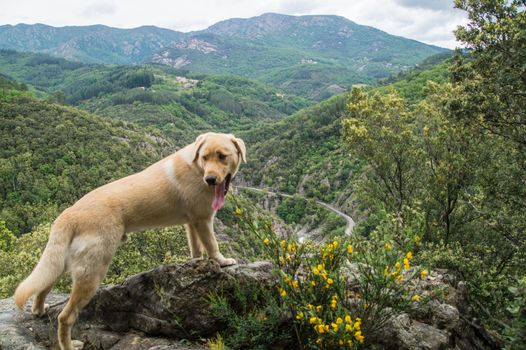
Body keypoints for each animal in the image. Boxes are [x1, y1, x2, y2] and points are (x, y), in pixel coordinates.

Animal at [12, 132, 248, 350]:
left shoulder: (192, 223)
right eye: (206, 157)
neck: (197, 168)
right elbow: (212, 244)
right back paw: (70, 345)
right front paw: (222, 261)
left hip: (62, 261)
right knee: (65, 317)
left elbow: (196, 248)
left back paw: (39, 310)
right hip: (93, 271)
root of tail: (69, 214)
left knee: (43, 286)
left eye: (222, 156)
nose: (210, 180)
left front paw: (196, 263)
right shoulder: (203, 220)